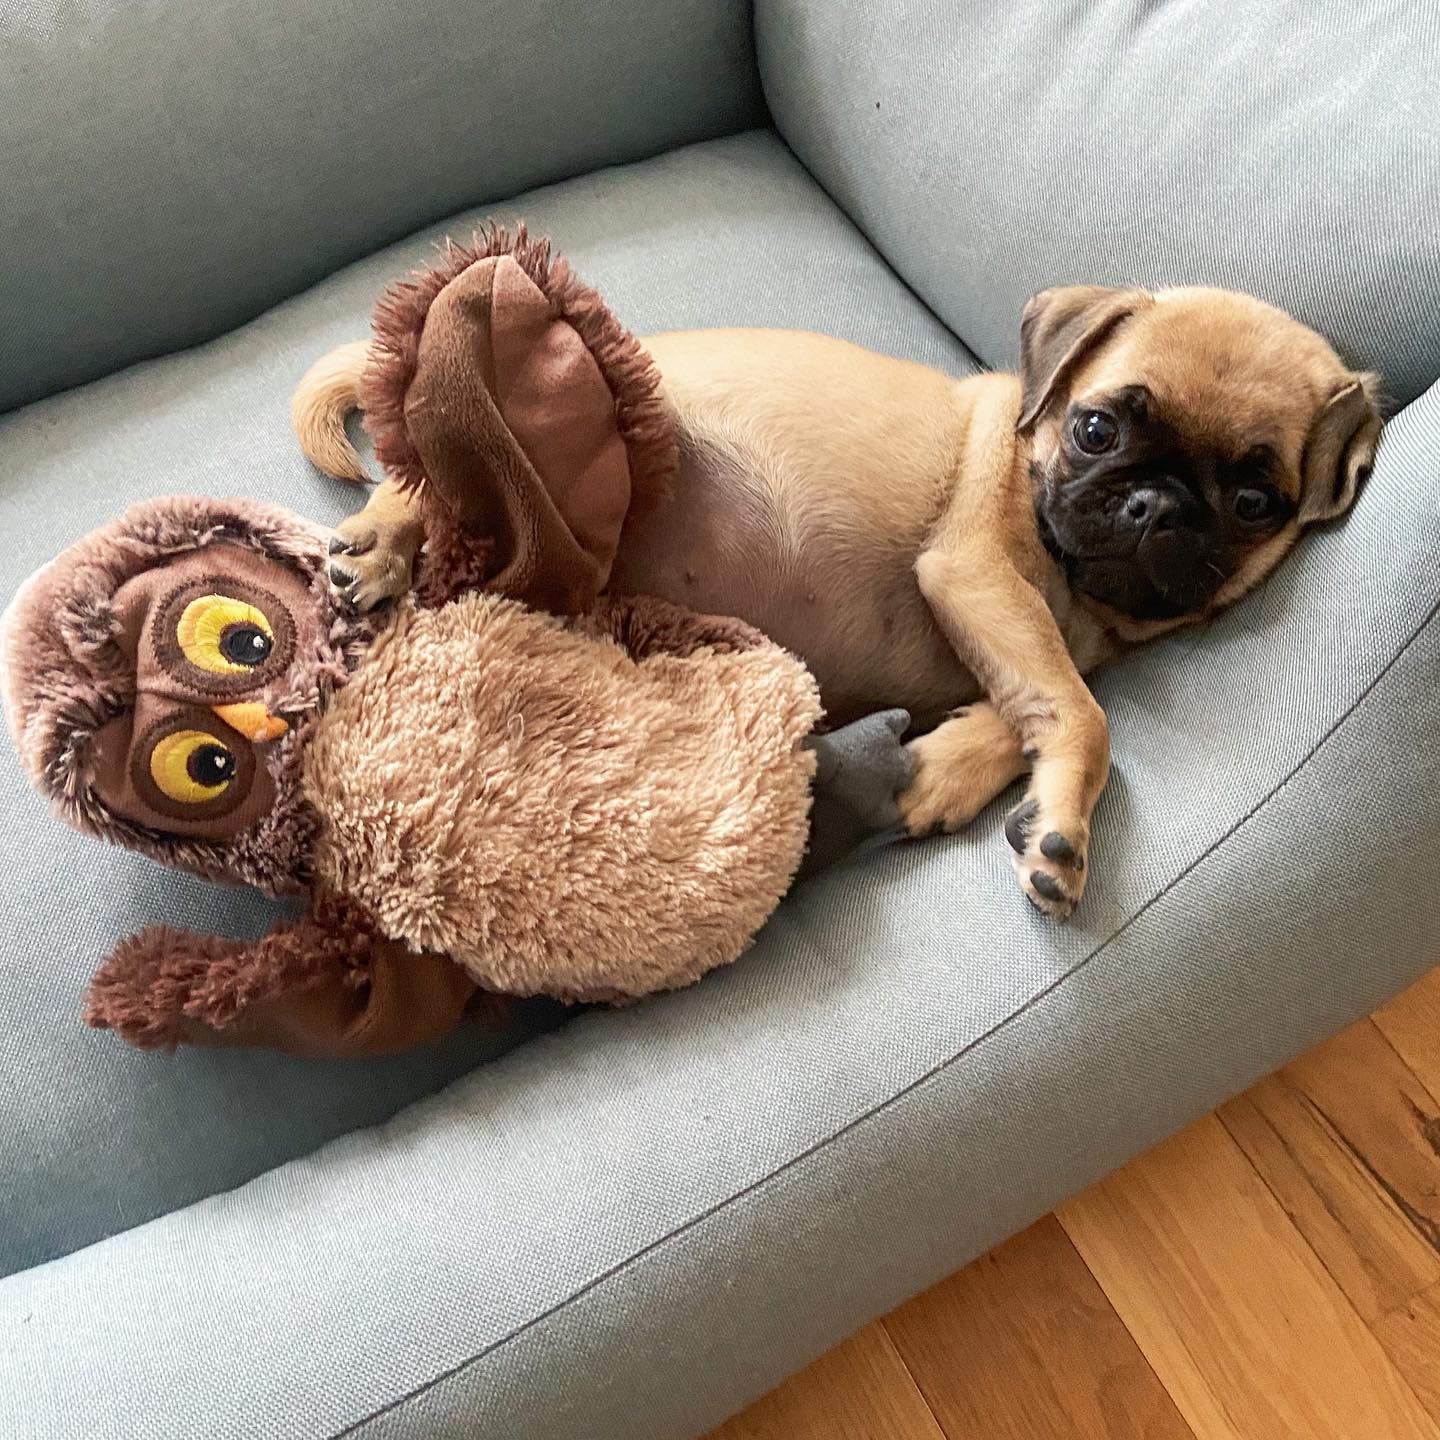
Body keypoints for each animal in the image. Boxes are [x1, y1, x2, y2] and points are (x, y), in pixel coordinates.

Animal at [293, 285, 1381, 918]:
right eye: (1098, 430)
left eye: (1254, 503)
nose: (1158, 506)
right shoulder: (977, 579)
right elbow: (1086, 715)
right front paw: (1064, 828)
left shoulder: (1017, 643)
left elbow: (1038, 706)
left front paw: (945, 774)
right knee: (431, 477)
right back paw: (382, 542)